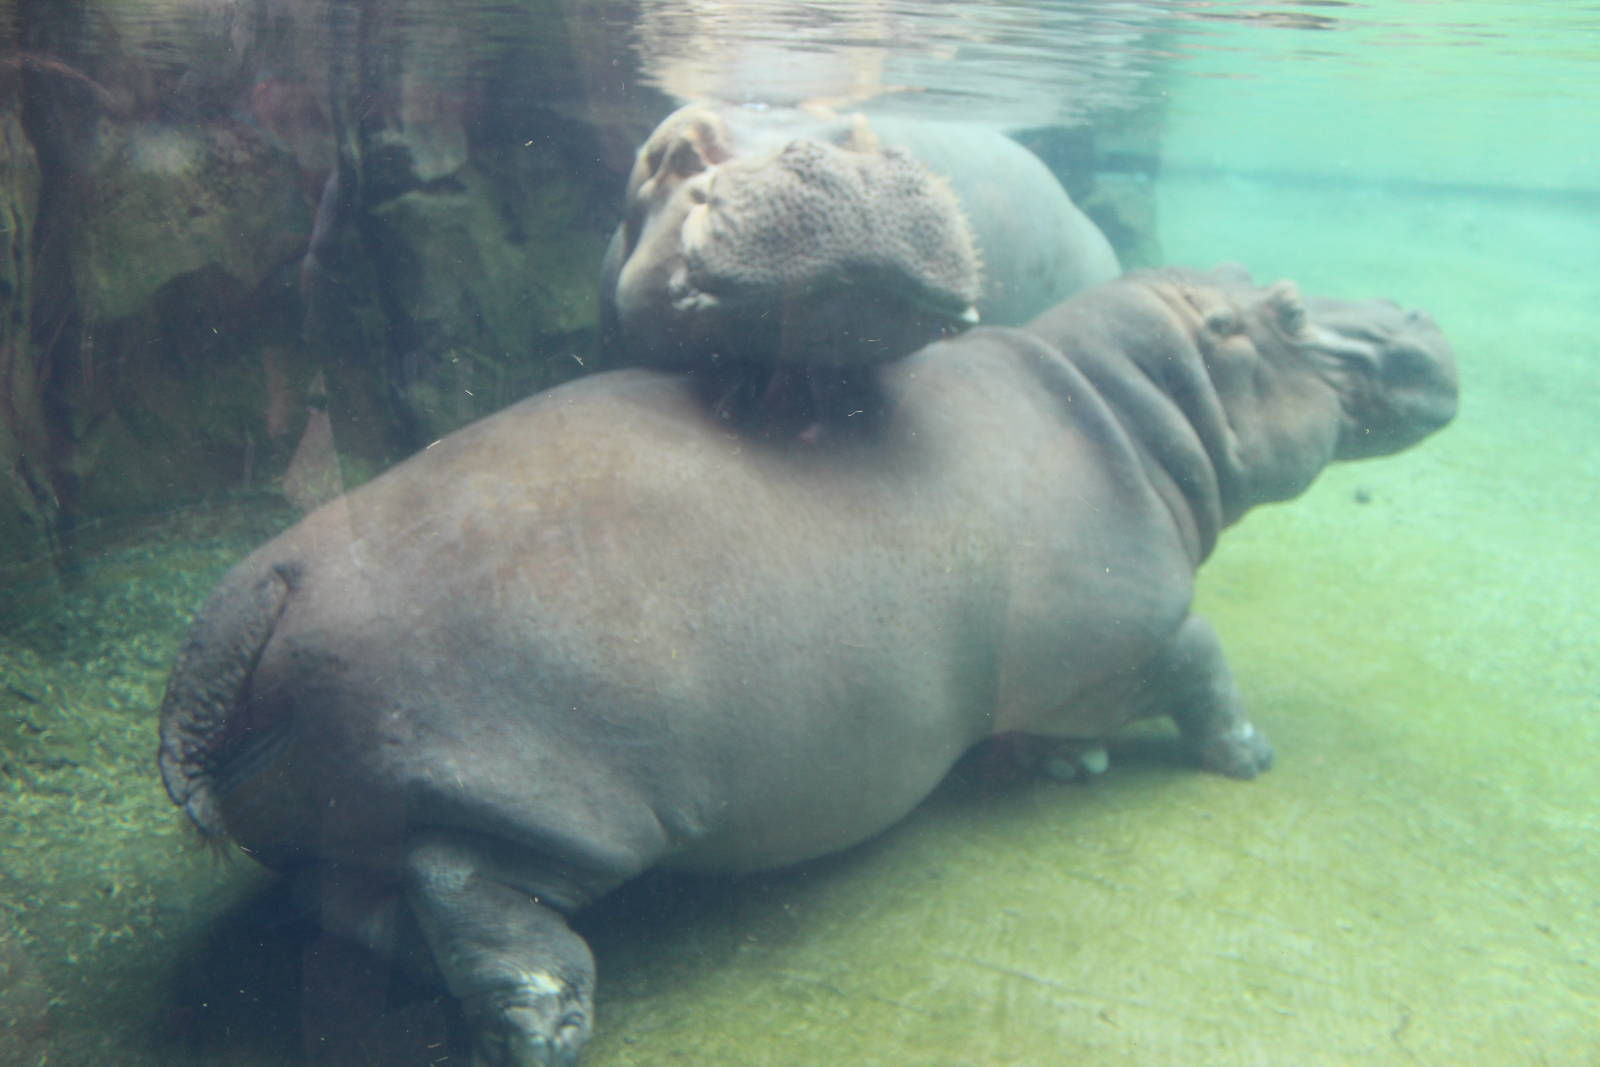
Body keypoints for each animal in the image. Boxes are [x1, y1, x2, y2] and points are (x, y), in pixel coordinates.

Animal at [157, 266, 1457, 1065]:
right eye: (1286, 311)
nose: (1419, 317)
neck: (1132, 408)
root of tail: (264, 587)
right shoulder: (1130, 625)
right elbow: (1204, 657)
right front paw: (1248, 758)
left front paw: (1070, 765)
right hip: (550, 796)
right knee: (466, 886)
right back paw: (546, 1025)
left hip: (353, 813)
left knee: (357, 905)